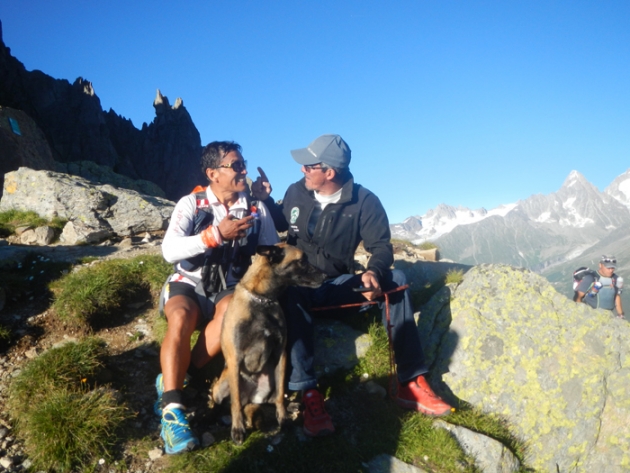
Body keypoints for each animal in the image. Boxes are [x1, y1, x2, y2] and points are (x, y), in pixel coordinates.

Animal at [215, 242, 328, 444]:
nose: (325, 276)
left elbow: (281, 393)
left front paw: (283, 418)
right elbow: (235, 402)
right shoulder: (235, 358)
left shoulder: (280, 353)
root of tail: (250, 397)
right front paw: (237, 428)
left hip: (270, 381)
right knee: (231, 402)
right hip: (222, 385)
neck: (262, 300)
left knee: (273, 398)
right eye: (301, 260)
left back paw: (288, 406)